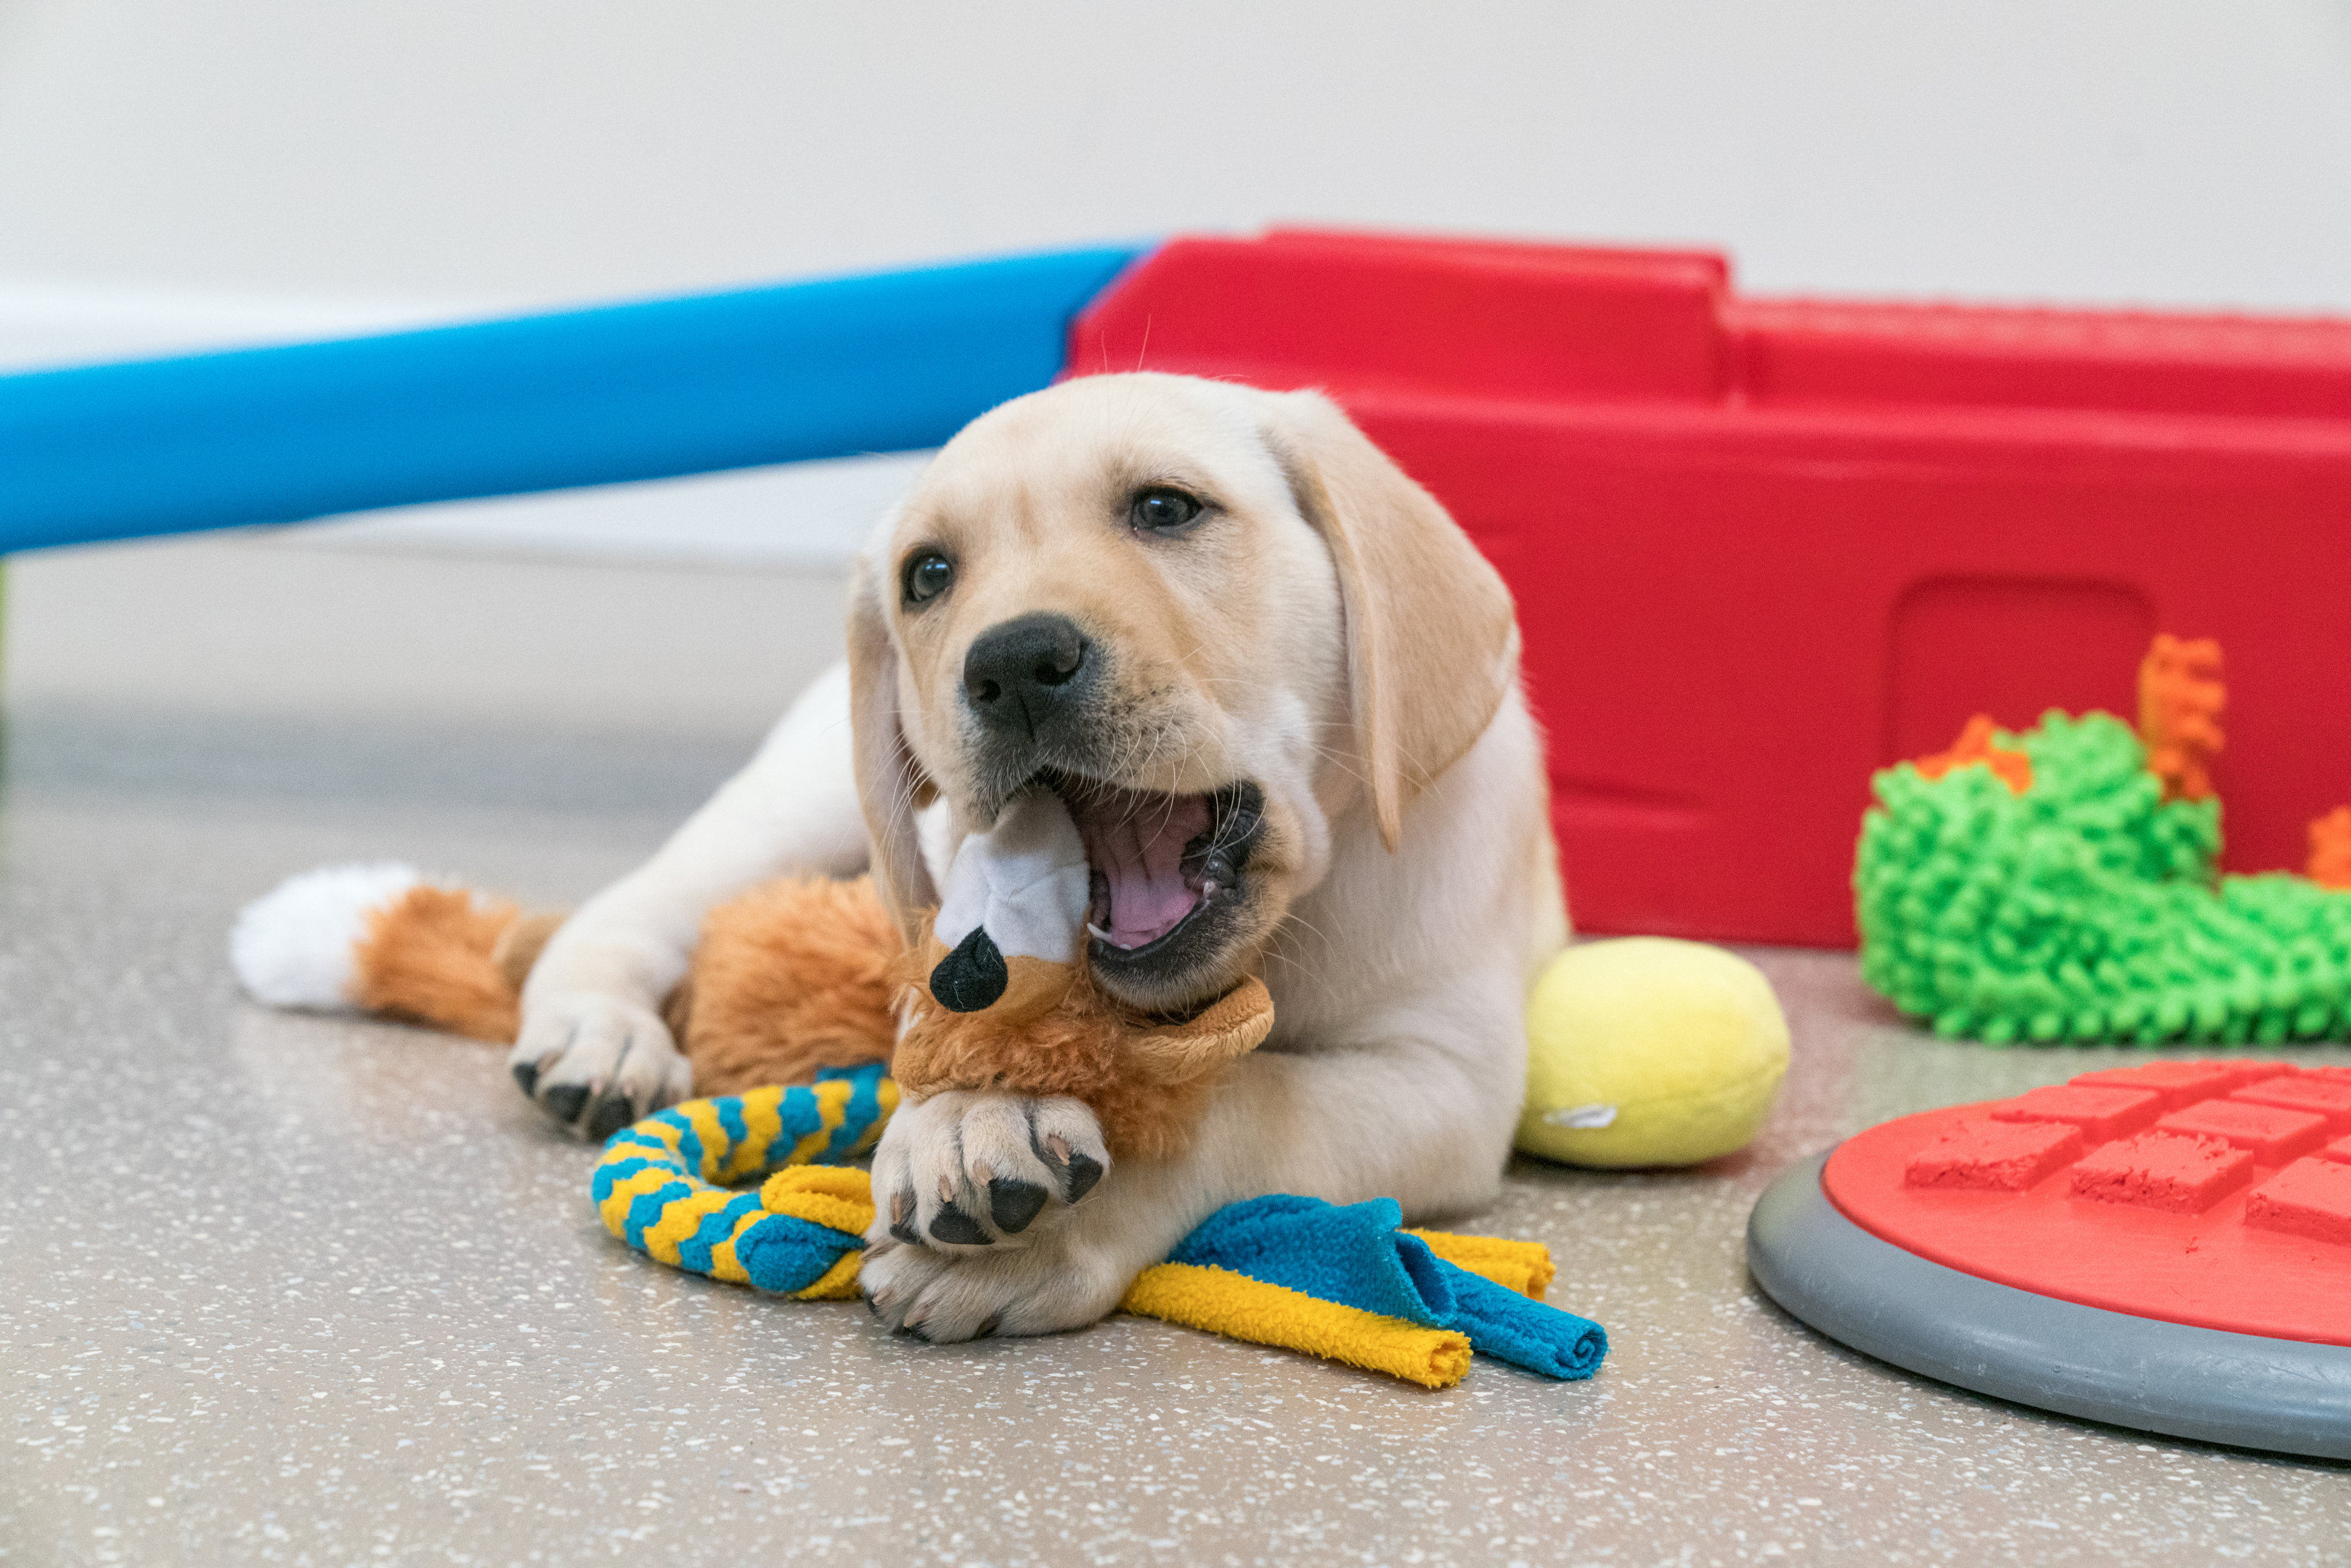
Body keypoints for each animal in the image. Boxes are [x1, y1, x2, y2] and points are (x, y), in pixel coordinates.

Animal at [508, 369, 1570, 1335]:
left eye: (1165, 508)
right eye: (928, 576)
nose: (1013, 664)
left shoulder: (1448, 1078)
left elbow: (1249, 1098)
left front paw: (1041, 1228)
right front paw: (968, 1113)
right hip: (800, 808)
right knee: (634, 906)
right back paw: (597, 1034)